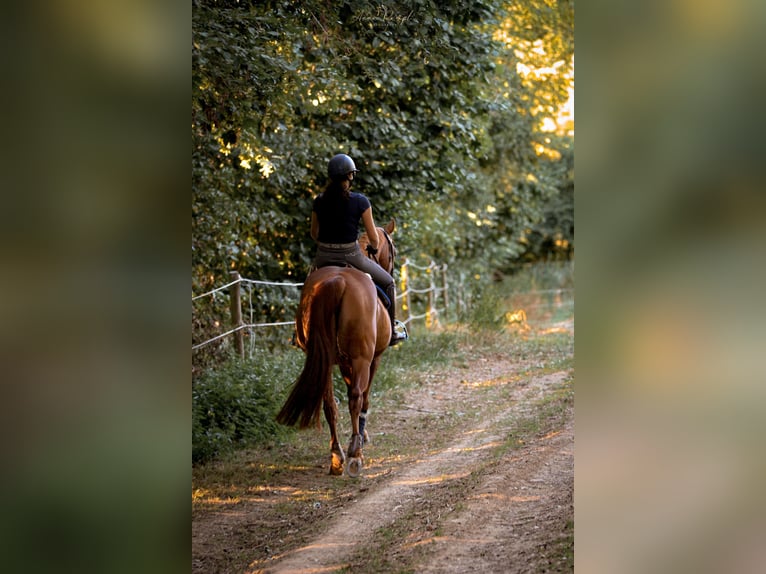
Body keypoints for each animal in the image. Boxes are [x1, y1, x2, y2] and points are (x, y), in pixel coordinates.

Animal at [276, 219, 398, 477]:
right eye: (393, 250)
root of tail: (337, 281)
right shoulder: (373, 358)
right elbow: (364, 396)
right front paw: (362, 435)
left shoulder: (342, 361)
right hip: (362, 357)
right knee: (355, 398)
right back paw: (354, 454)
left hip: (323, 360)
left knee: (329, 404)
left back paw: (336, 456)